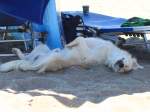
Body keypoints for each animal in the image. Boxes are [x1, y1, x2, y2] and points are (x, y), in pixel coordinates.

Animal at [0, 36, 144, 73]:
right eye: (125, 63)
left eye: (126, 68)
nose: (121, 65)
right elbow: (79, 37)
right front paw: (67, 44)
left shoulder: (85, 48)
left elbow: (79, 38)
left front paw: (68, 45)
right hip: (42, 47)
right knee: (26, 57)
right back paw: (16, 51)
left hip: (48, 59)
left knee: (28, 66)